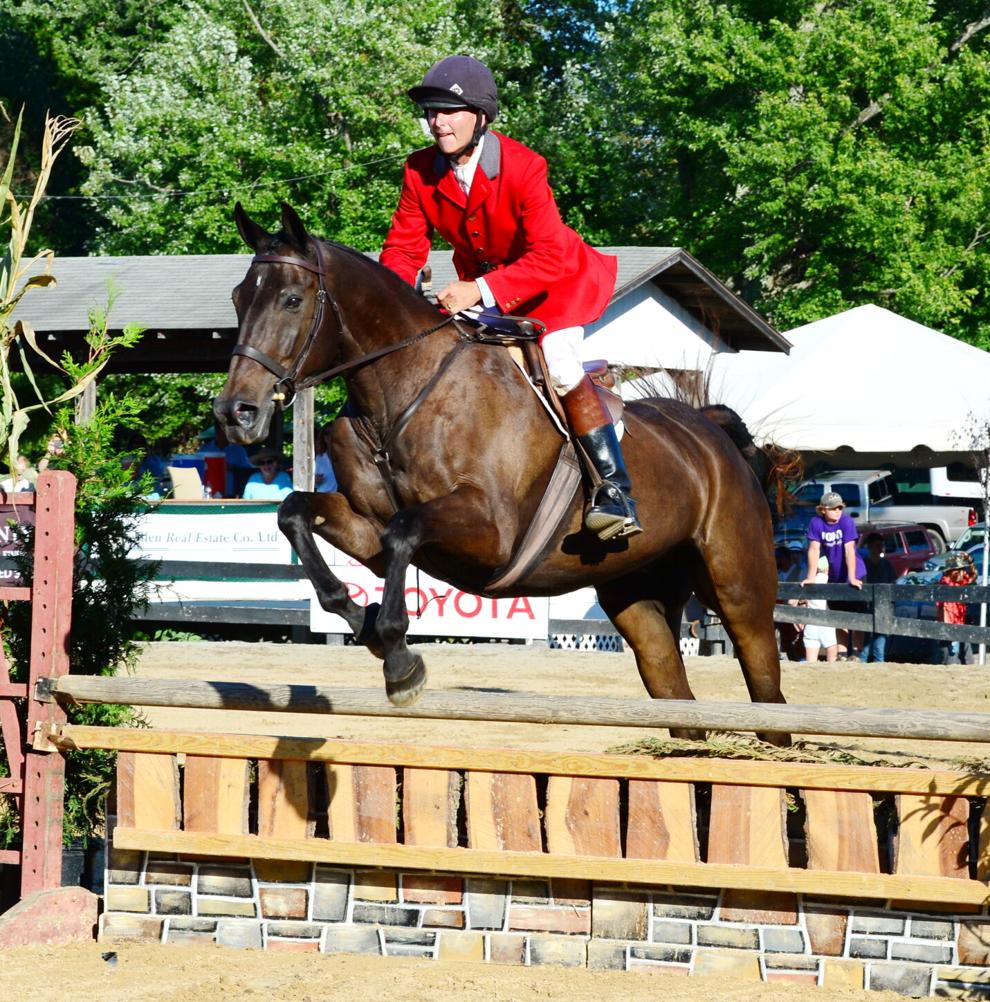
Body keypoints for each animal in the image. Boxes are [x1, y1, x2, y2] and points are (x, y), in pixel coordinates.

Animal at [213, 202, 790, 746]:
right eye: (238, 298)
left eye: (292, 300)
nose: (236, 412)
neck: (401, 392)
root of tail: (711, 433)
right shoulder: (366, 528)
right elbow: (296, 514)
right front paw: (368, 626)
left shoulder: (491, 534)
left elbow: (405, 529)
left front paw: (399, 660)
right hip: (635, 591)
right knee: (675, 689)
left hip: (737, 586)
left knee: (766, 685)